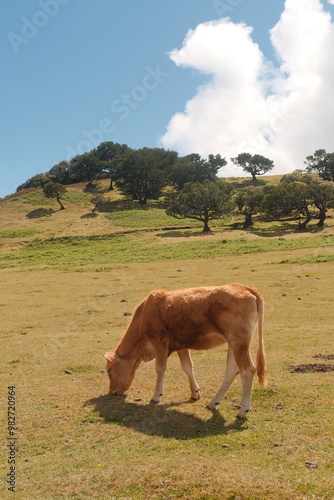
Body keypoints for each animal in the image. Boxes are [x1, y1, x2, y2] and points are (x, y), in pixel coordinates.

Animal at [104, 282, 266, 418]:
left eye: (109, 370)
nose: (111, 392)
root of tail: (243, 286)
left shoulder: (159, 340)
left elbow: (160, 368)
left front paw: (156, 396)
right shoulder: (180, 345)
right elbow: (187, 367)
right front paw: (195, 393)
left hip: (239, 341)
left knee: (247, 369)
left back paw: (243, 410)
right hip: (233, 343)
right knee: (232, 370)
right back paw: (213, 403)